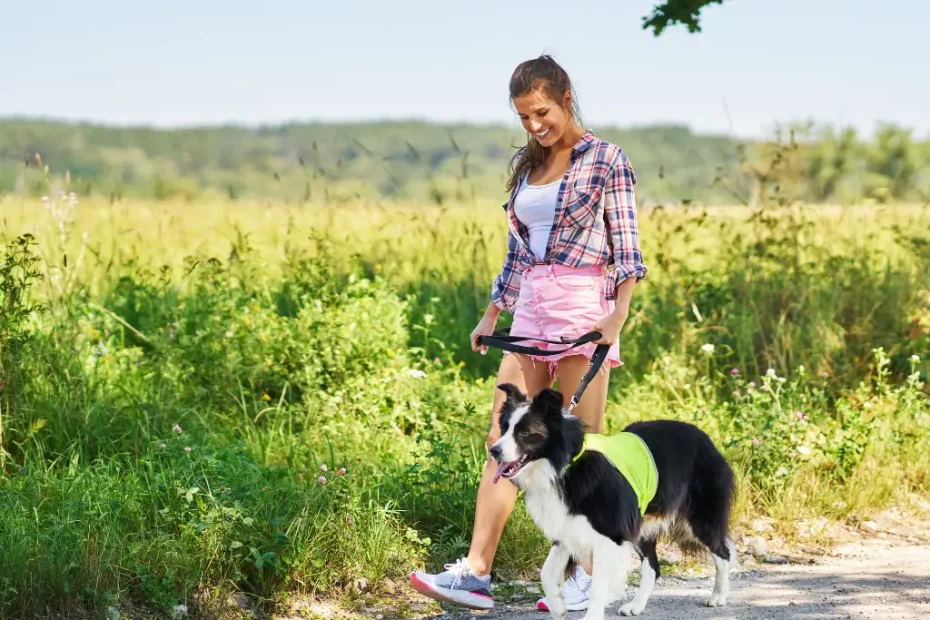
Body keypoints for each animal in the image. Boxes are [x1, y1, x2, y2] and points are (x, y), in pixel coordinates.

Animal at [490, 386, 736, 616]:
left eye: (525, 432)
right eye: (504, 428)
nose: (493, 450)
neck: (567, 463)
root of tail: (705, 438)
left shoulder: (610, 535)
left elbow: (598, 587)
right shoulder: (566, 529)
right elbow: (546, 574)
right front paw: (558, 608)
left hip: (701, 518)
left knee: (723, 552)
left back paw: (719, 596)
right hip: (641, 524)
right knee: (653, 567)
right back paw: (636, 606)